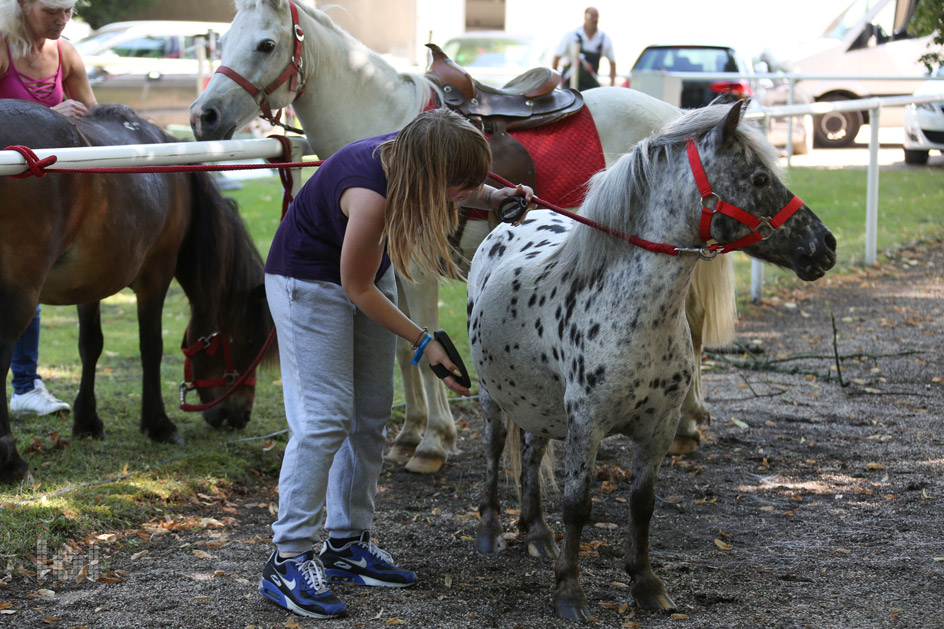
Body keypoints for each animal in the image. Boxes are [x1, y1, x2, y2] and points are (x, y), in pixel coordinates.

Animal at [0, 102, 274, 480]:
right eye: (249, 342)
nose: (241, 416)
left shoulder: (89, 282)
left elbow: (91, 345)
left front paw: (87, 421)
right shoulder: (156, 275)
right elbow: (151, 347)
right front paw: (159, 425)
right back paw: (11, 461)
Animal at [468, 102, 836, 620]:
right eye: (760, 178)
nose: (826, 245)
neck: (633, 314)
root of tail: (506, 225)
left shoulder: (659, 426)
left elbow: (642, 504)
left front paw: (645, 584)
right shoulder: (587, 424)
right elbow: (578, 505)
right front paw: (569, 591)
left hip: (539, 403)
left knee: (534, 453)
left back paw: (536, 532)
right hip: (492, 396)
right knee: (495, 446)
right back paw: (489, 529)